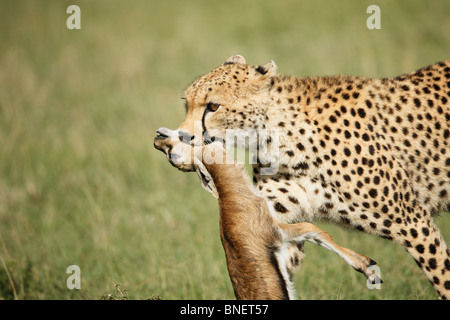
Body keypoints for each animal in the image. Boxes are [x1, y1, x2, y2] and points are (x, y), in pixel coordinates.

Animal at [175, 54, 450, 298]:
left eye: (213, 106)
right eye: (186, 104)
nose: (181, 136)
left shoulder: (413, 222)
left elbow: (442, 275)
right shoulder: (274, 221)